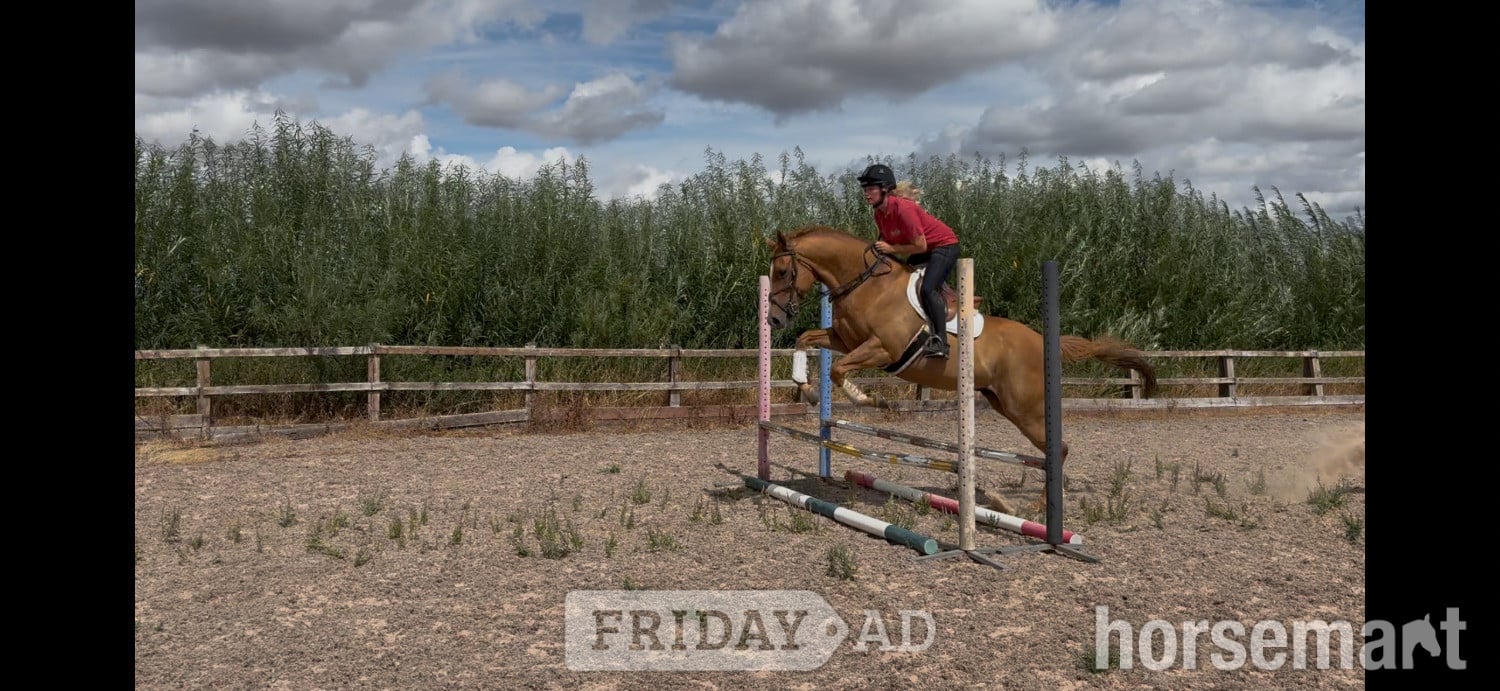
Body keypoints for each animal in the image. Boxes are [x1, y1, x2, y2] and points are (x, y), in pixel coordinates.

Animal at [765, 224, 1158, 514]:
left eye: (783, 271)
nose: (774, 319)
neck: (867, 285)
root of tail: (1041, 340)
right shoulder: (843, 339)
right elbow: (806, 339)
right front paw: (807, 388)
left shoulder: (883, 349)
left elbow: (839, 370)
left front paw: (869, 400)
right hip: (1003, 403)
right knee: (1051, 450)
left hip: (1025, 408)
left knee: (1057, 449)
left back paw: (1033, 509)